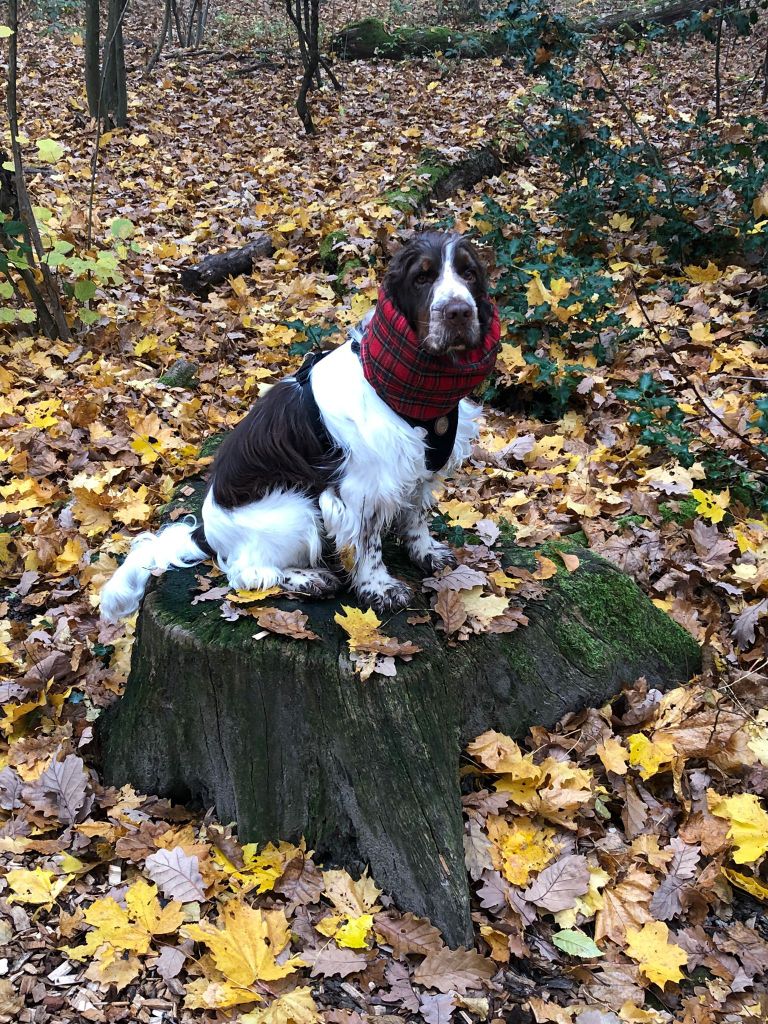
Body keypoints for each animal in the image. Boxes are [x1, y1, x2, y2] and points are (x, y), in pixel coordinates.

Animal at [100, 229, 499, 618]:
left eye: (468, 273)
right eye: (422, 277)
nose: (459, 312)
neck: (405, 386)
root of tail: (207, 535)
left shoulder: (418, 467)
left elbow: (416, 515)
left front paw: (427, 553)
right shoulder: (365, 488)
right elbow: (368, 544)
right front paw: (380, 589)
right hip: (295, 509)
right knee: (246, 573)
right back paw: (310, 579)